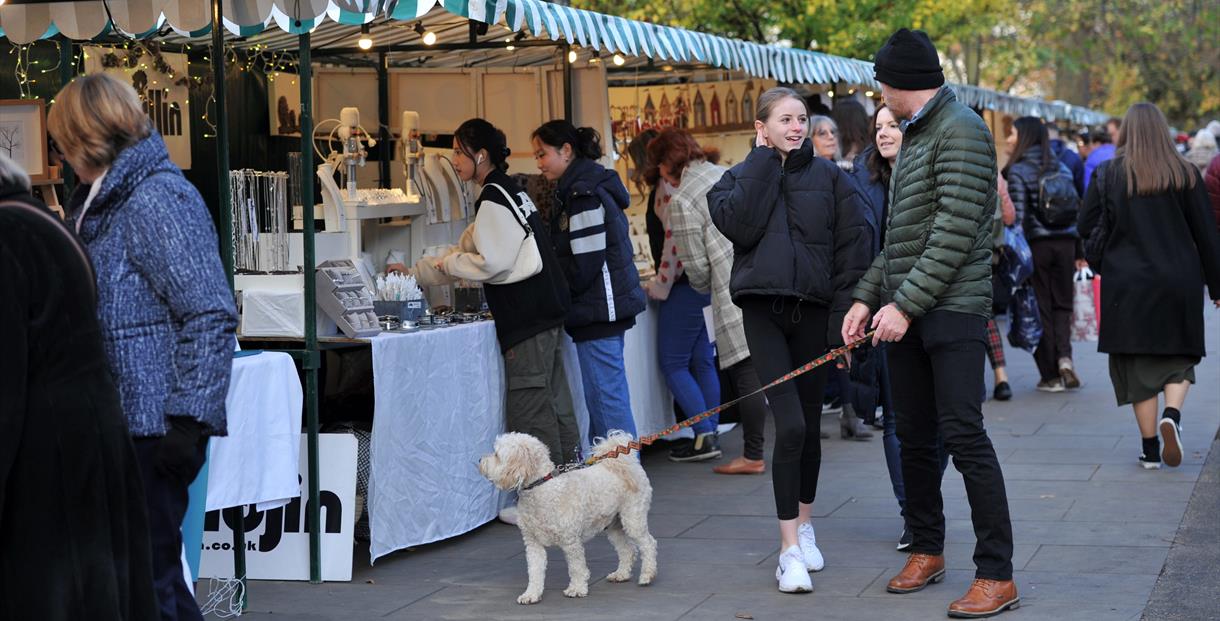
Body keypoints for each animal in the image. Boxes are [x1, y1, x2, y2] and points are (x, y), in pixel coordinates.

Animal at [480, 431, 663, 600]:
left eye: (497, 455)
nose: (480, 460)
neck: (541, 489)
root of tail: (623, 463)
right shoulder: (532, 543)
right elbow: (534, 571)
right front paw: (531, 594)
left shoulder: (571, 541)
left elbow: (576, 568)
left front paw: (576, 589)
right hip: (613, 525)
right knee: (627, 550)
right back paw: (621, 574)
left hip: (633, 518)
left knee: (649, 544)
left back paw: (647, 575)